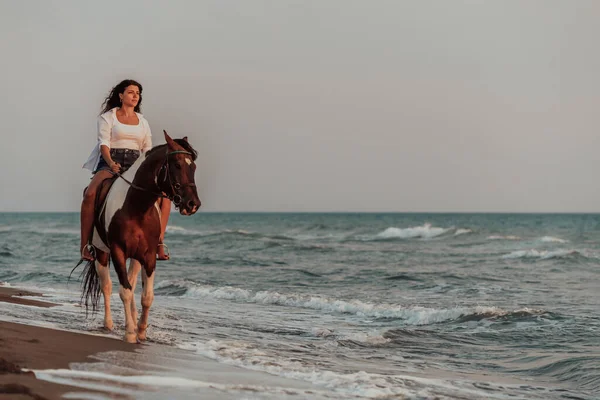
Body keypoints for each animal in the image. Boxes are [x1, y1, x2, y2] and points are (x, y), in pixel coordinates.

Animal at [72, 130, 202, 342]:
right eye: (177, 165)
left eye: (194, 167)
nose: (193, 204)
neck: (137, 207)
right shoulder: (117, 251)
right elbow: (123, 291)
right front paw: (130, 333)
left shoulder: (148, 256)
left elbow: (146, 296)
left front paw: (141, 330)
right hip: (101, 253)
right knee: (107, 286)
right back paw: (109, 324)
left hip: (136, 257)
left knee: (132, 285)